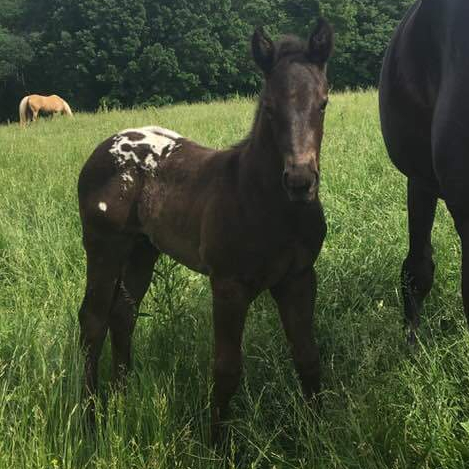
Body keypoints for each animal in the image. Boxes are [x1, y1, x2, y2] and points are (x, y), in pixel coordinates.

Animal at [78, 19, 333, 440]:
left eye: (323, 102)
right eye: (269, 106)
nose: (300, 181)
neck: (265, 203)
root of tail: (103, 147)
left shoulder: (298, 278)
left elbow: (308, 356)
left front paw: (318, 433)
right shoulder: (227, 286)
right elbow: (226, 369)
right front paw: (216, 443)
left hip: (142, 249)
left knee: (122, 315)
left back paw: (121, 395)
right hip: (104, 246)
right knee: (93, 321)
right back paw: (89, 417)